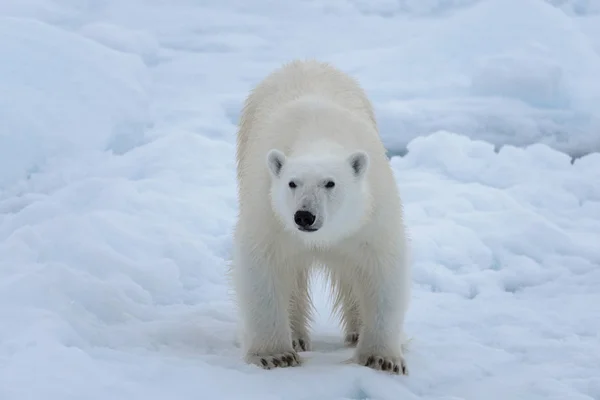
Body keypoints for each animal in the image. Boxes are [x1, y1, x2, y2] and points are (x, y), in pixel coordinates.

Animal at [232, 58, 410, 376]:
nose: (304, 216)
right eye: (292, 183)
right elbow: (262, 266)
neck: (317, 136)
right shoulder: (269, 213)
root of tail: (304, 62)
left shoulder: (370, 215)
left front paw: (383, 359)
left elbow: (381, 268)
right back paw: (297, 336)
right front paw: (274, 355)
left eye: (330, 183)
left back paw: (355, 332)